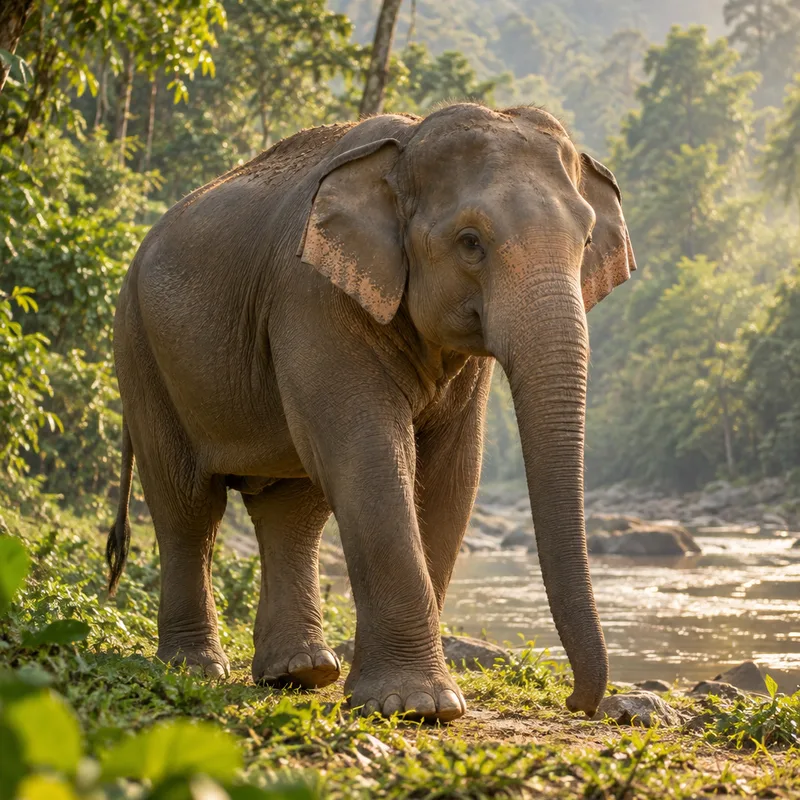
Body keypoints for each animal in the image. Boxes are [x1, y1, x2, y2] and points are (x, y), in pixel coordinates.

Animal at [106, 103, 635, 723]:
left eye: (585, 240)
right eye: (470, 242)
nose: (577, 701)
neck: (406, 144)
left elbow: (452, 474)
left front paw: (405, 699)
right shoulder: (312, 294)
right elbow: (372, 454)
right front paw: (416, 705)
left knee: (291, 509)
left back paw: (300, 673)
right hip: (139, 348)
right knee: (189, 505)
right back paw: (195, 667)